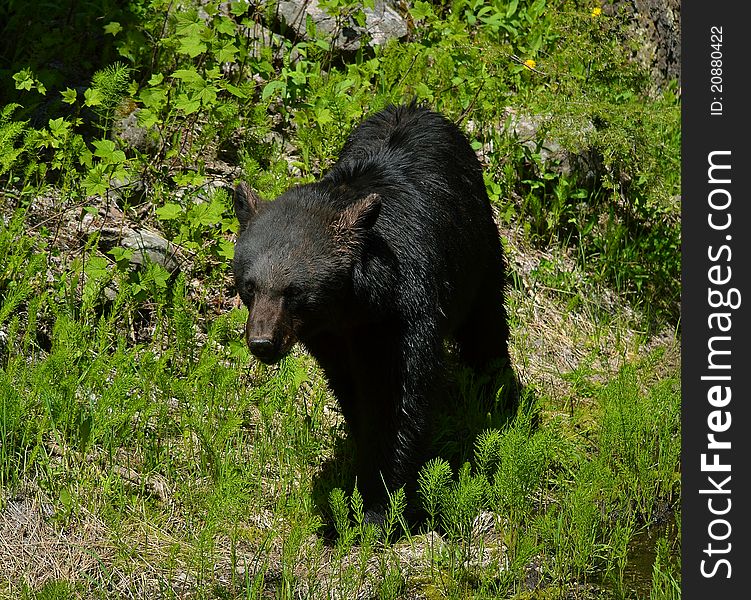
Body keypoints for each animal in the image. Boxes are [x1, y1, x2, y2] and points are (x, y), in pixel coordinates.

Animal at [232, 103, 516, 520]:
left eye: (294, 291)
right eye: (250, 286)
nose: (263, 342)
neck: (354, 308)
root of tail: (418, 108)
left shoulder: (399, 317)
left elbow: (394, 400)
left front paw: (377, 502)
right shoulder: (331, 339)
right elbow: (353, 391)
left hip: (477, 245)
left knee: (485, 322)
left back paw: (496, 389)